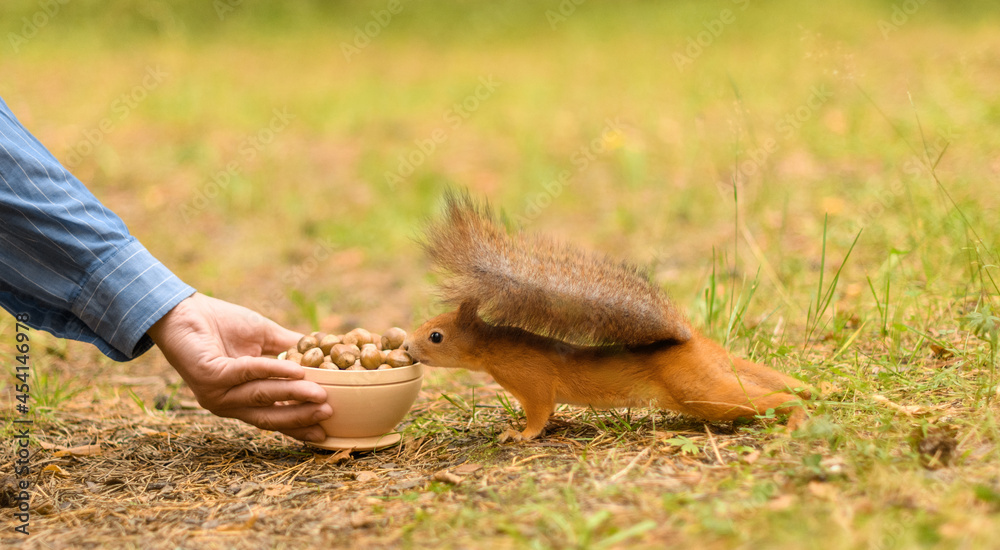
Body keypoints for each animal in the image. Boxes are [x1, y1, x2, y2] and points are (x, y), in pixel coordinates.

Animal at [405, 191, 811, 441]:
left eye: (436, 336)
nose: (407, 348)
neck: (493, 348)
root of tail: (693, 341)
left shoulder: (532, 380)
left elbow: (539, 413)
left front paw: (518, 434)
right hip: (715, 378)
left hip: (702, 393)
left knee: (767, 400)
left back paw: (795, 418)